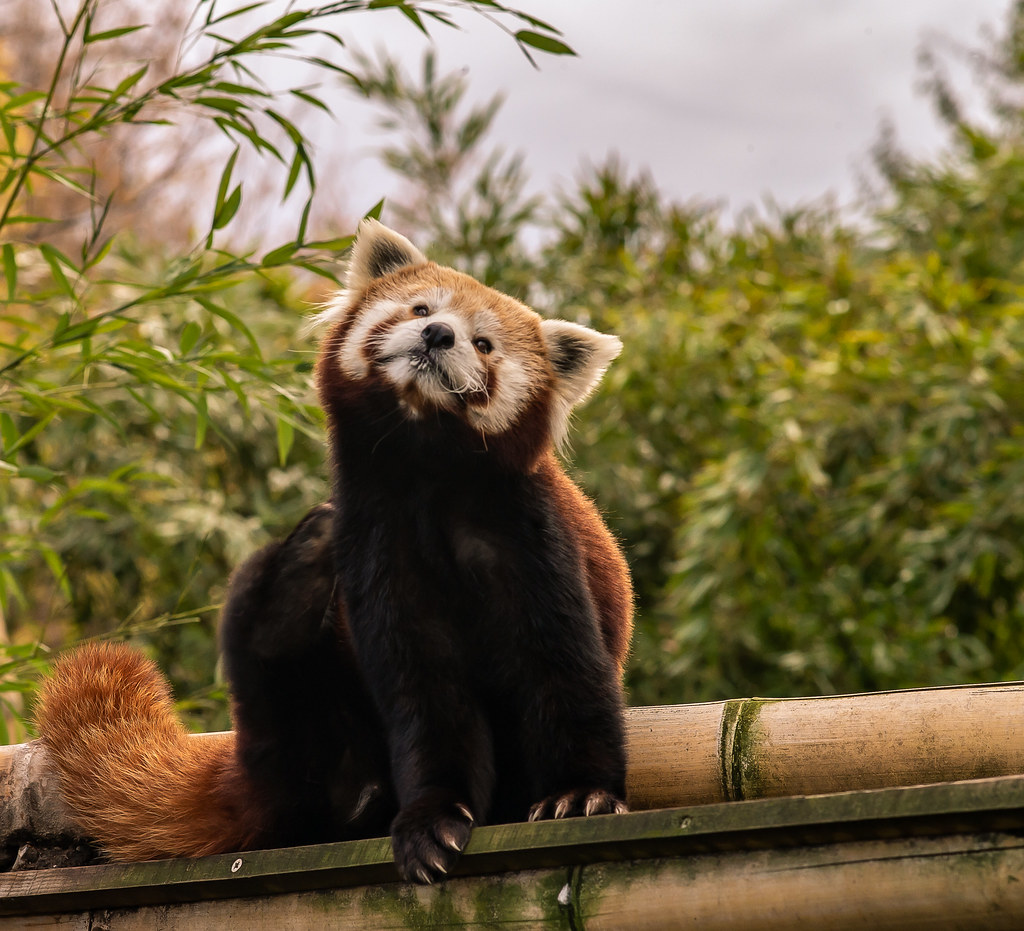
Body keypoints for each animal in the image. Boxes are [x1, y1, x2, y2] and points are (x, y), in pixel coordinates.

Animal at [36, 221, 630, 880]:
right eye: (421, 308)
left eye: (484, 344)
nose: (439, 334)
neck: (424, 469)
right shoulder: (374, 545)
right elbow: (422, 694)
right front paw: (432, 818)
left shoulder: (530, 539)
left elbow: (562, 667)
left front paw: (578, 794)